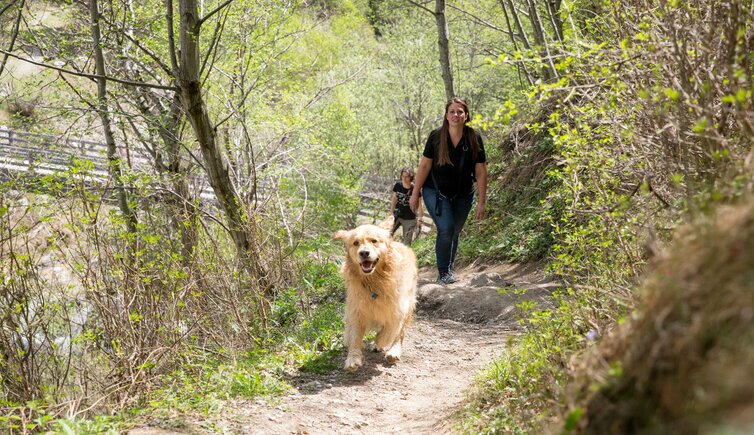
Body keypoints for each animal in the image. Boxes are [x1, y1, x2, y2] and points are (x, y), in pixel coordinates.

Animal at [334, 225, 418, 372]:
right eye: (356, 243)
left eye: (374, 241)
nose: (364, 253)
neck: (374, 282)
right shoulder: (356, 311)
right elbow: (354, 336)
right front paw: (353, 359)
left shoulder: (397, 311)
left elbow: (388, 332)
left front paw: (379, 342)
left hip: (409, 303)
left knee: (399, 334)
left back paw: (393, 351)